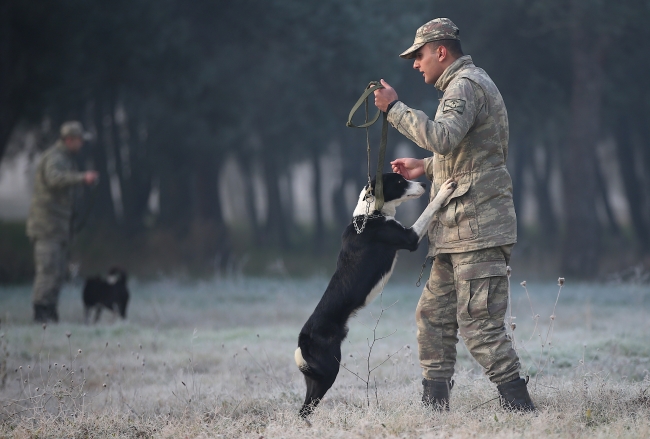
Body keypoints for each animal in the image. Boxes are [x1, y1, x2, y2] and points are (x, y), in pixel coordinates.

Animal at [294, 173, 456, 420]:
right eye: (399, 182)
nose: (423, 184)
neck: (370, 215)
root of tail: (303, 339)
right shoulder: (410, 238)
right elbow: (428, 209)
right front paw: (444, 191)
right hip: (328, 370)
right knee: (305, 408)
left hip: (315, 376)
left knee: (304, 408)